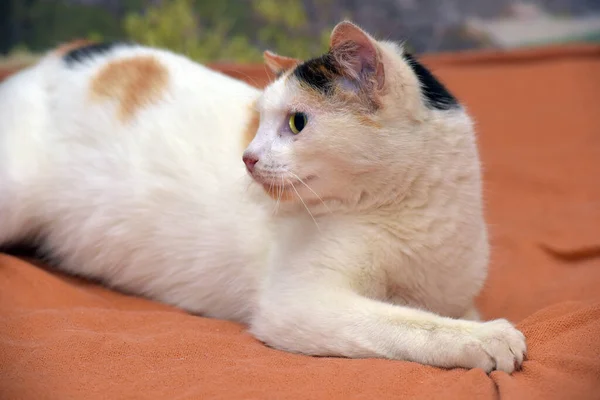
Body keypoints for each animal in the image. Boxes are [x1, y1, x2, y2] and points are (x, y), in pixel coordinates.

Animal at [0, 21, 524, 372]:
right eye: (258, 119)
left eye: (296, 122)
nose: (247, 157)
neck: (416, 214)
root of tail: (44, 63)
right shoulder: (301, 303)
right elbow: (411, 322)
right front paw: (486, 338)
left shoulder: (454, 292)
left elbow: (442, 311)